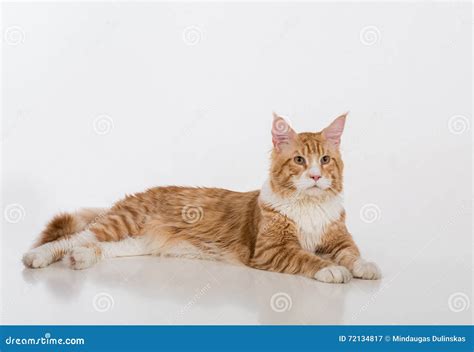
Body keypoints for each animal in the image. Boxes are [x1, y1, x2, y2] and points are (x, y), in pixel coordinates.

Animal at [23, 113, 382, 284]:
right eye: (299, 160)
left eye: (325, 160)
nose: (316, 176)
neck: (309, 207)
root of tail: (138, 193)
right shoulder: (272, 250)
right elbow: (310, 259)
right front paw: (332, 270)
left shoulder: (339, 239)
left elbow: (352, 254)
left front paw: (364, 267)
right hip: (120, 223)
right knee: (69, 238)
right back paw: (38, 257)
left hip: (135, 242)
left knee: (95, 247)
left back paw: (80, 259)